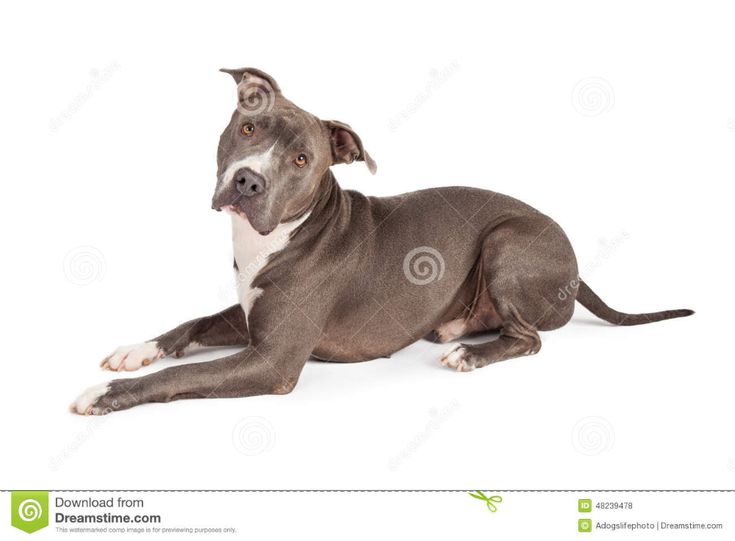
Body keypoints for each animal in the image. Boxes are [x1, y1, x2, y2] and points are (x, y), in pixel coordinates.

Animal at [70, 67, 696, 414]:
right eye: (248, 128)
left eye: (302, 159)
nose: (248, 181)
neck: (276, 235)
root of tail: (576, 265)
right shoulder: (248, 316)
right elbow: (191, 324)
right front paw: (136, 349)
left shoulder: (272, 360)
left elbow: (181, 376)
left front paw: (104, 394)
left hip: (508, 242)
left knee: (531, 337)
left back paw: (470, 351)